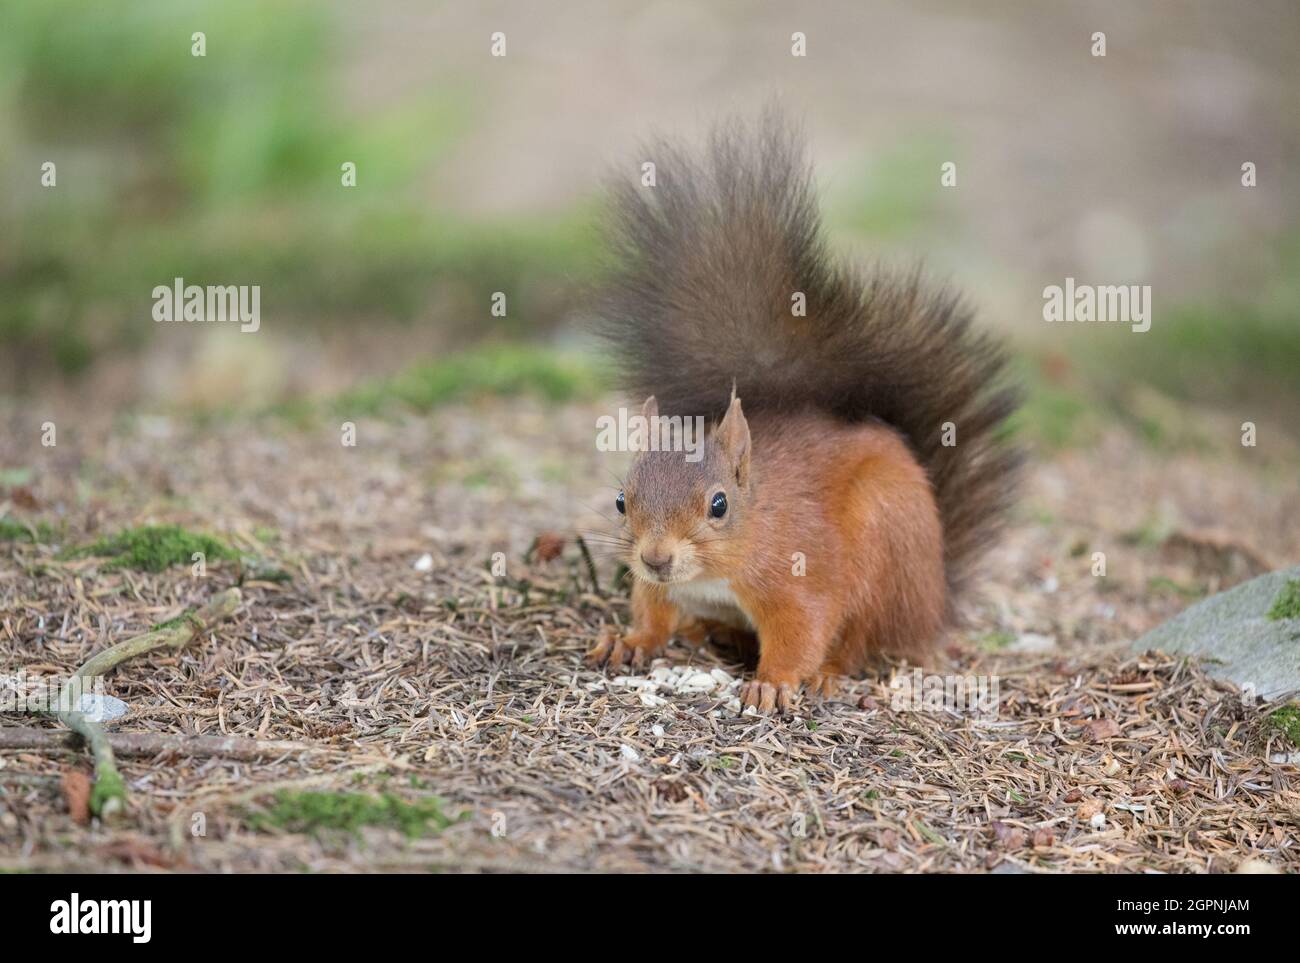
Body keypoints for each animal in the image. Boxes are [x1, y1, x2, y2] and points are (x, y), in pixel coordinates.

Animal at [585, 112, 1019, 712]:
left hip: (885, 541)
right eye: (621, 501)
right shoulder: (659, 586)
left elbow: (805, 627)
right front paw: (629, 641)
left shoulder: (799, 576)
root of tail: (934, 604)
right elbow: (653, 612)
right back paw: (708, 631)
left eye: (719, 505)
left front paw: (773, 682)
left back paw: (827, 673)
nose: (655, 558)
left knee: (863, 640)